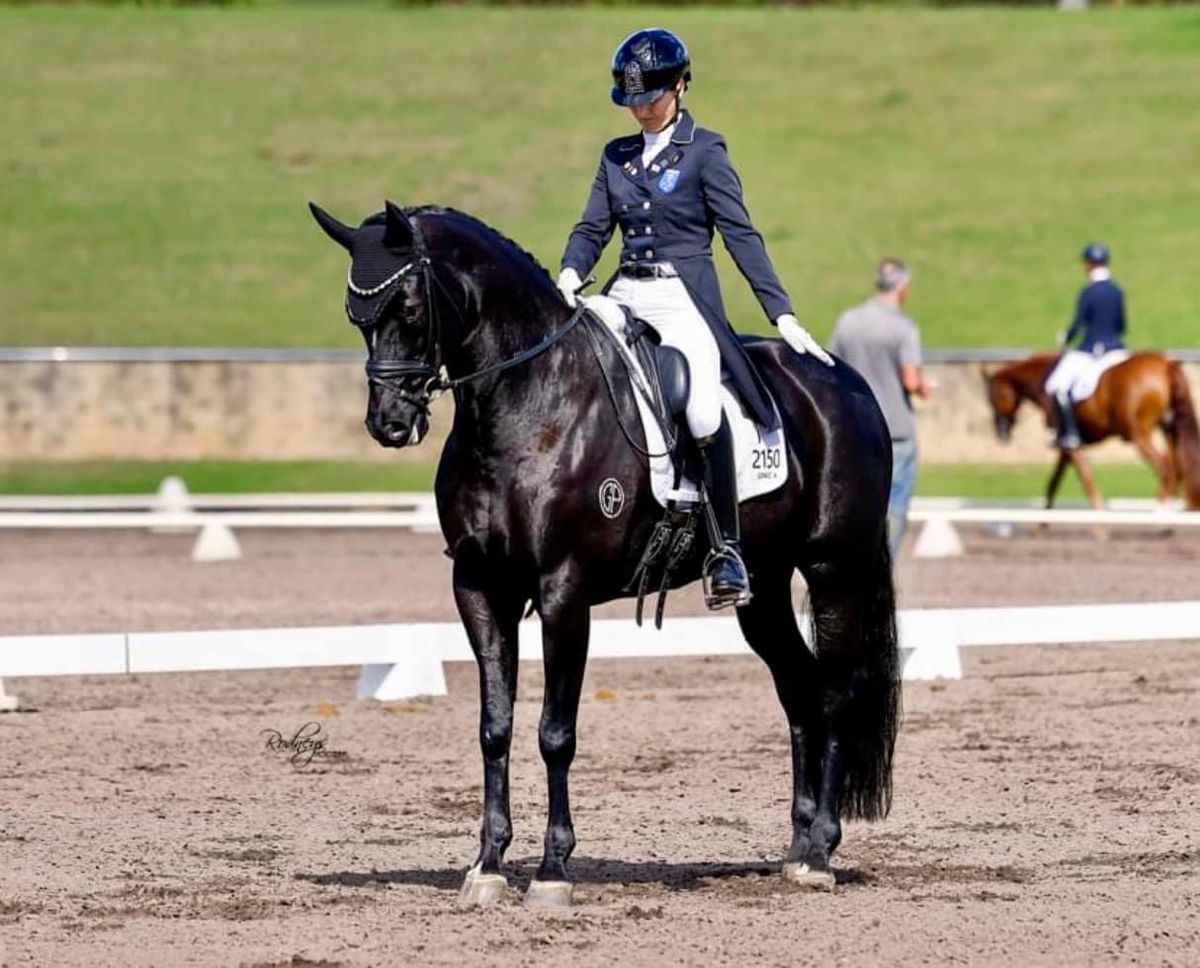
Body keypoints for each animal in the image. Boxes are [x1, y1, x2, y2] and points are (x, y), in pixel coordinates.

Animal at [309, 200, 902, 906]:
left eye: (408, 308)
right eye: (355, 316)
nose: (390, 425)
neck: (527, 403)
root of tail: (846, 381)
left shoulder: (564, 591)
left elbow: (554, 733)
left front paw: (552, 871)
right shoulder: (479, 587)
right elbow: (495, 727)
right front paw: (487, 865)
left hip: (834, 568)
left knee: (835, 691)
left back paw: (821, 854)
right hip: (762, 586)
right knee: (799, 690)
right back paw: (800, 844)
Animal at [984, 352, 1200, 510]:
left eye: (992, 397)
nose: (1001, 433)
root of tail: (1166, 365)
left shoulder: (1069, 444)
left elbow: (1084, 480)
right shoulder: (1068, 447)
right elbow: (1053, 484)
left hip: (1139, 436)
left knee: (1167, 471)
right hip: (1170, 432)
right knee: (1181, 472)